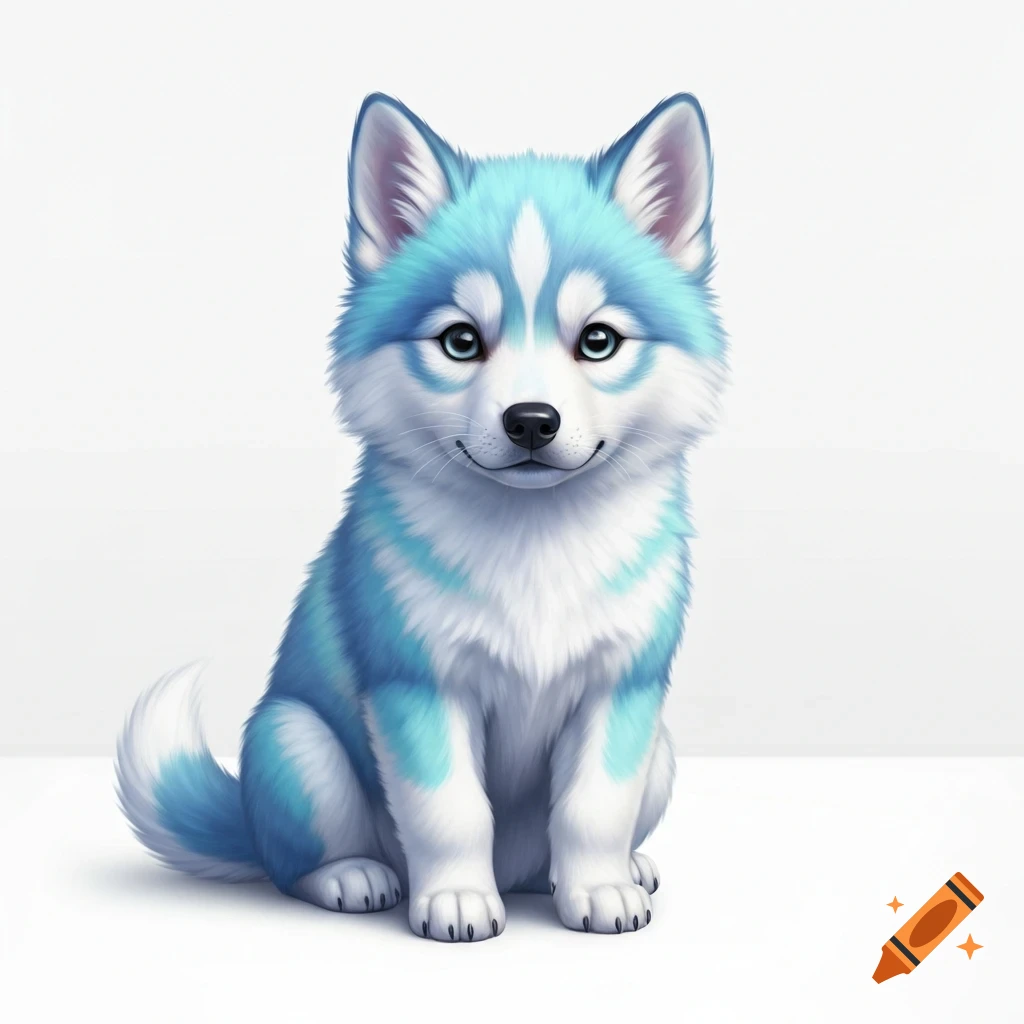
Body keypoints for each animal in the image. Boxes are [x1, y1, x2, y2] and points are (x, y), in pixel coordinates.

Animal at [115, 92, 727, 941]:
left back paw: (610, 871)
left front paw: (601, 888)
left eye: (598, 340)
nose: (530, 421)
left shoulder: (624, 687)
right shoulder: (416, 682)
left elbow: (594, 808)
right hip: (297, 742)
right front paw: (459, 901)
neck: (535, 541)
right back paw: (353, 877)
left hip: (662, 753)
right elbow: (450, 810)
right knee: (293, 864)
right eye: (461, 341)